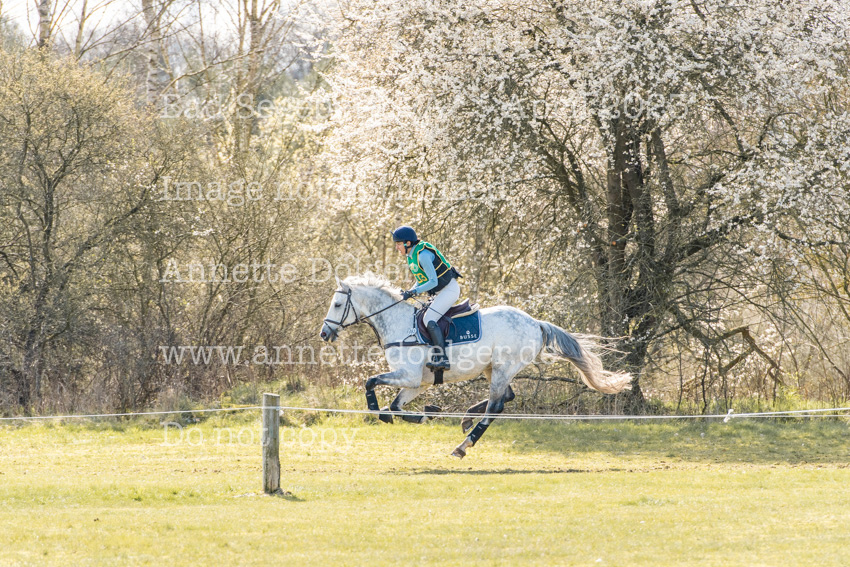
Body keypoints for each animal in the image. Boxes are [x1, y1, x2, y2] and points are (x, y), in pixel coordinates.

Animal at [319, 273, 631, 458]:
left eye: (337, 305)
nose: (324, 333)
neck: (398, 322)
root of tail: (536, 322)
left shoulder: (408, 377)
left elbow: (371, 383)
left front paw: (381, 412)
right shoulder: (416, 383)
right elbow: (396, 406)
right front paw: (427, 412)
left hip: (503, 368)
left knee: (496, 407)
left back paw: (464, 444)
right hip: (494, 369)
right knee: (506, 398)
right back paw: (467, 418)